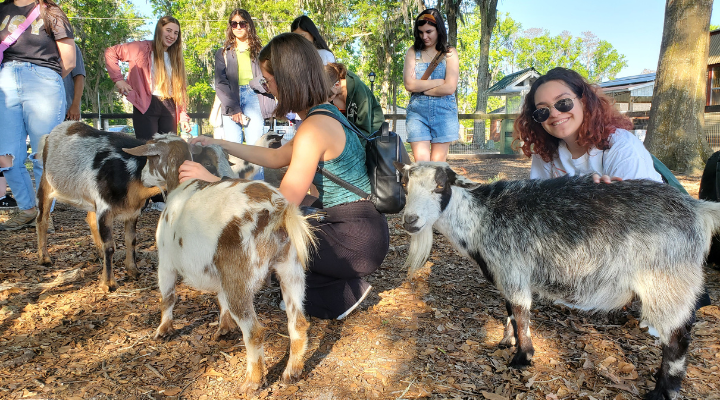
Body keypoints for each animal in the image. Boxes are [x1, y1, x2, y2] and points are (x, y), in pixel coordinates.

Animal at [36, 121, 233, 290]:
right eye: (207, 163)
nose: (228, 179)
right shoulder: (105, 209)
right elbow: (110, 245)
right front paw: (108, 283)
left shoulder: (131, 211)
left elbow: (131, 239)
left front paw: (133, 270)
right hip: (46, 183)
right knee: (42, 218)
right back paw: (44, 257)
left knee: (89, 218)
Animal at [121, 141, 316, 394]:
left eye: (149, 158)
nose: (142, 178)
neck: (179, 188)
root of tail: (278, 211)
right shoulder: (221, 270)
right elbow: (220, 298)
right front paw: (224, 328)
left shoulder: (166, 262)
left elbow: (168, 297)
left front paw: (163, 330)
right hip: (290, 269)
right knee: (298, 322)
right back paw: (292, 372)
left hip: (241, 277)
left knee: (254, 332)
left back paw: (252, 382)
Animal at [396, 161, 716, 400]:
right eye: (405, 185)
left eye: (440, 185)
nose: (410, 221)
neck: (480, 218)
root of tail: (697, 209)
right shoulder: (506, 274)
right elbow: (510, 311)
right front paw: (506, 342)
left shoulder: (512, 268)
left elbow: (521, 313)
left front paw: (522, 358)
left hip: (666, 281)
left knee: (677, 338)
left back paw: (664, 391)